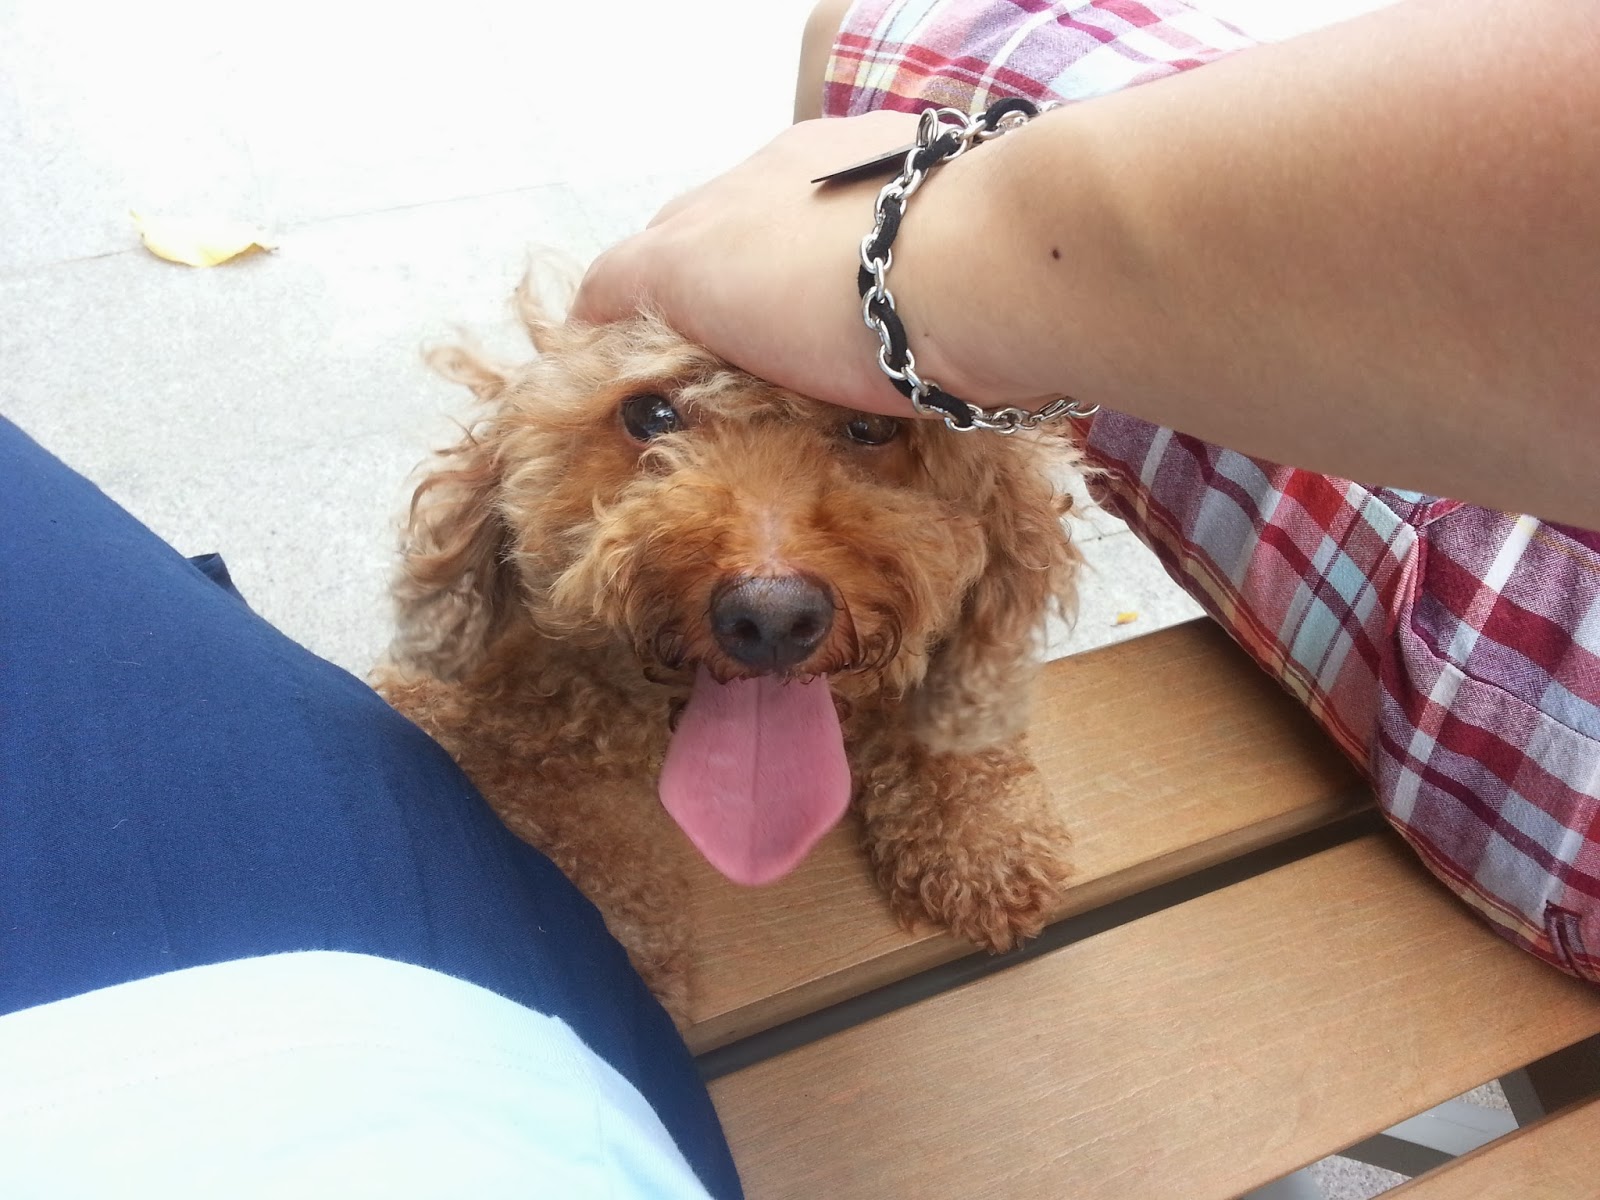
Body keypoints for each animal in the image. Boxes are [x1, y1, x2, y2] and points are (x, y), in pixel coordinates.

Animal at [375, 279, 1082, 1018]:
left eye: (871, 427)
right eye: (650, 413)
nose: (772, 617)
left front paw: (983, 842)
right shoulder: (471, 719)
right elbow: (579, 831)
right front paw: (620, 956)